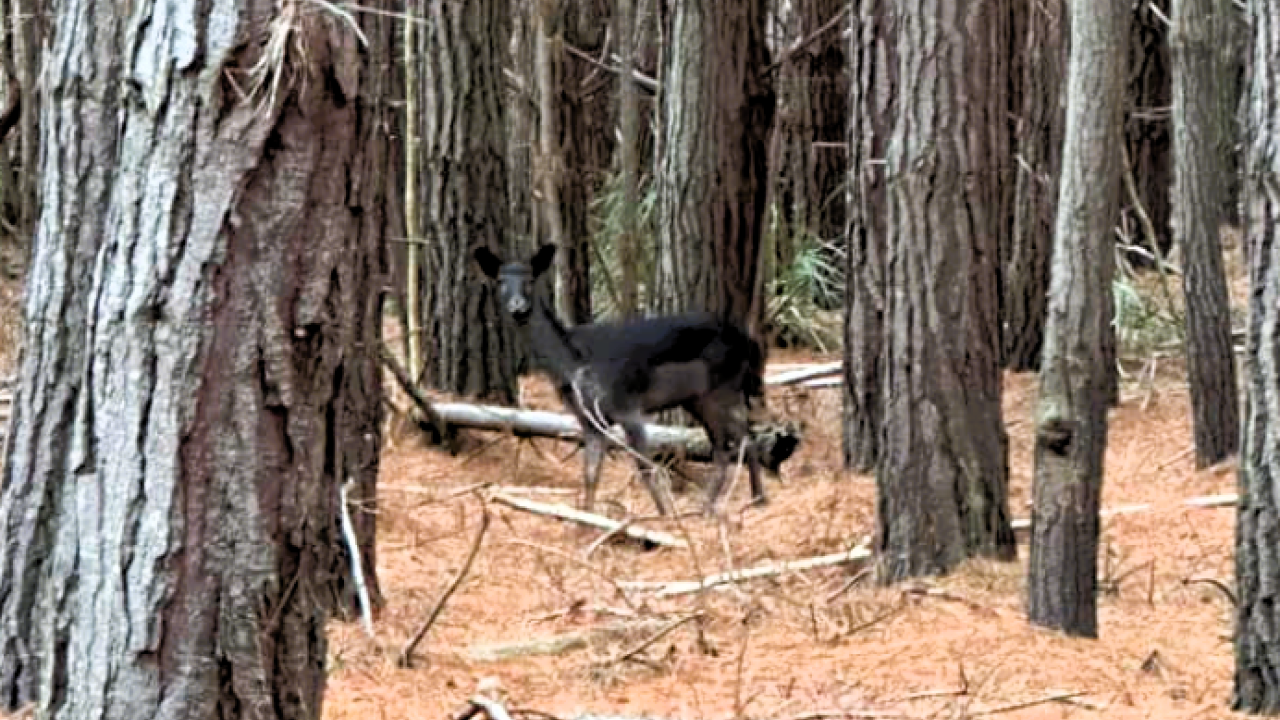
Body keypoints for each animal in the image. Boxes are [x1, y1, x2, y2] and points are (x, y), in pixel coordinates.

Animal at [476, 243, 762, 512]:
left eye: (530, 279)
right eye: (500, 281)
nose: (517, 306)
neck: (573, 364)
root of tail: (747, 341)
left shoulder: (627, 407)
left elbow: (646, 469)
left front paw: (666, 516)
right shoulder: (589, 420)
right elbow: (591, 474)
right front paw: (587, 523)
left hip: (723, 388)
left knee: (737, 439)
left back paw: (743, 501)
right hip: (700, 398)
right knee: (733, 441)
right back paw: (725, 504)